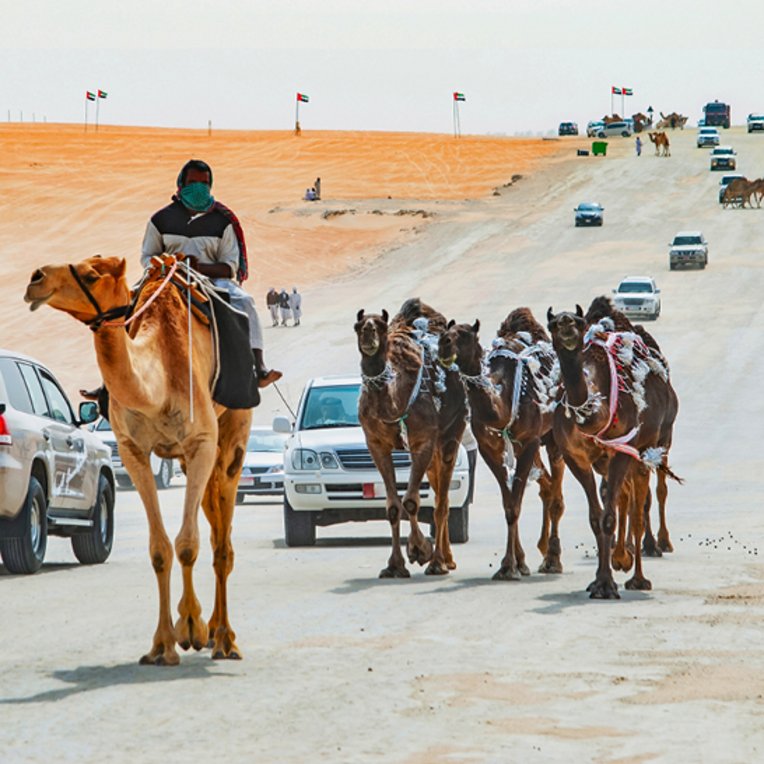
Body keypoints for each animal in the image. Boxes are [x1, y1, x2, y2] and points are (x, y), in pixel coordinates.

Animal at [24, 254, 253, 665]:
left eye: (91, 275)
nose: (35, 278)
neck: (157, 382)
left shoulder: (201, 443)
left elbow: (188, 544)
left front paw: (190, 629)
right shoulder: (133, 451)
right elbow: (160, 548)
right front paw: (163, 645)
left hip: (232, 435)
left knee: (222, 542)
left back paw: (224, 640)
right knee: (214, 524)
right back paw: (213, 630)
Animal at [354, 299, 467, 578]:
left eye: (381, 326)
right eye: (357, 326)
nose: (368, 333)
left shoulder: (423, 441)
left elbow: (413, 502)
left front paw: (420, 551)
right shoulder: (376, 444)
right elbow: (393, 506)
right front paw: (394, 565)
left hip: (451, 434)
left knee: (442, 501)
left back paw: (440, 562)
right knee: (438, 494)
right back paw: (447, 558)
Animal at [438, 309, 565, 579]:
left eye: (465, 334)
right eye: (447, 330)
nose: (443, 343)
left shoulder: (530, 441)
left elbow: (515, 503)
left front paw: (511, 566)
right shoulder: (490, 449)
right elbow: (509, 503)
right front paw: (514, 563)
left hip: (551, 436)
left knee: (556, 492)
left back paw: (552, 560)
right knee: (547, 487)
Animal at [546, 297, 680, 598]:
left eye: (578, 321)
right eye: (552, 324)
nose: (566, 323)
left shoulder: (622, 451)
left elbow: (610, 516)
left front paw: (608, 583)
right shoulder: (576, 458)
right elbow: (598, 517)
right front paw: (600, 579)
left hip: (658, 443)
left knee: (646, 500)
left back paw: (641, 571)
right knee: (625, 498)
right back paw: (623, 558)